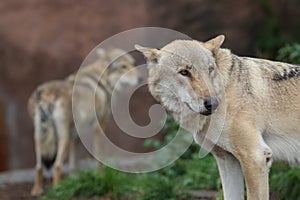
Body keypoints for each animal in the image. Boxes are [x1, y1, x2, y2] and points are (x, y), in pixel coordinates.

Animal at [28, 48, 139, 195]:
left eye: (133, 64)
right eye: (123, 67)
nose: (140, 78)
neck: (102, 80)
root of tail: (46, 93)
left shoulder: (75, 135)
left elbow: (73, 164)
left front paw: (75, 180)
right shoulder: (99, 127)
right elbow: (99, 158)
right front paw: (101, 177)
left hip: (40, 139)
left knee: (38, 167)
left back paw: (37, 191)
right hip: (62, 138)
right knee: (57, 165)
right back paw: (58, 191)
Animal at [135, 35, 300, 199]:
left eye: (210, 70)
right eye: (184, 72)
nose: (213, 103)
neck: (225, 89)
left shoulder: (256, 157)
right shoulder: (227, 160)